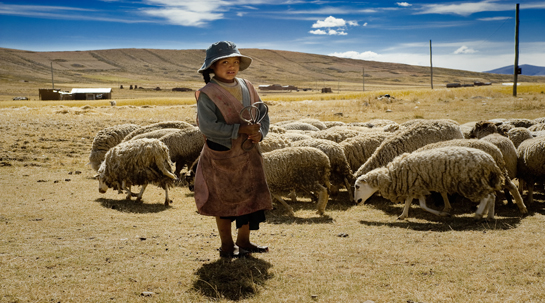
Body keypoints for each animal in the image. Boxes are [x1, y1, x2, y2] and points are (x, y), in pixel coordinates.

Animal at [352, 147, 502, 221]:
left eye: (357, 186)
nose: (356, 202)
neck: (391, 175)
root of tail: (490, 161)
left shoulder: (416, 186)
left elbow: (422, 206)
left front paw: (443, 214)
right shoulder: (414, 186)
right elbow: (410, 202)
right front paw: (403, 215)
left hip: (471, 182)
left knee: (487, 196)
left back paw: (478, 214)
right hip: (479, 181)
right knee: (492, 195)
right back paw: (489, 215)